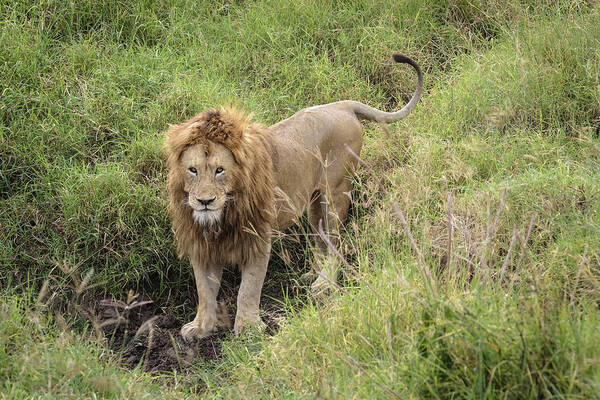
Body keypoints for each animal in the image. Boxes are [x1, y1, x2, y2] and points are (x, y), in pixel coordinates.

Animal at [165, 54, 422, 340]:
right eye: (193, 170)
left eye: (220, 170)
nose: (204, 201)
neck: (222, 216)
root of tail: (342, 105)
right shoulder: (202, 244)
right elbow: (205, 291)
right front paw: (201, 327)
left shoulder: (257, 238)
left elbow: (249, 288)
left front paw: (248, 329)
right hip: (315, 202)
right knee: (321, 240)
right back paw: (312, 274)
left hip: (336, 191)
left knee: (334, 240)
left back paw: (324, 284)